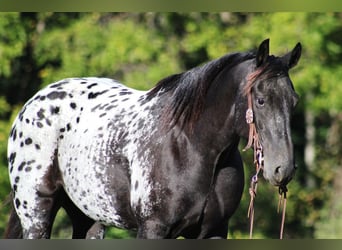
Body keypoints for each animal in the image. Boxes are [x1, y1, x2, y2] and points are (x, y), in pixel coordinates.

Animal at [5, 38, 302, 238]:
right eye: (261, 100)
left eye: (294, 101)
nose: (282, 169)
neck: (193, 148)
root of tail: (32, 104)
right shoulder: (153, 228)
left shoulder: (214, 230)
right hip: (37, 213)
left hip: (89, 218)